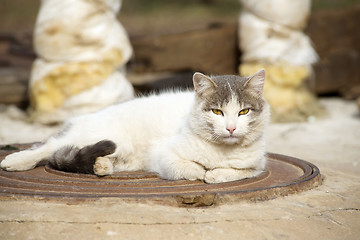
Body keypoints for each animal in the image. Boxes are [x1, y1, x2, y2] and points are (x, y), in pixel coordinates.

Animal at [0, 69, 270, 184]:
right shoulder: (165, 156)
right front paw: (203, 172)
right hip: (105, 135)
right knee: (49, 146)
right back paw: (16, 160)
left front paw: (216, 173)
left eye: (243, 111)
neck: (222, 151)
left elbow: (238, 172)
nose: (231, 128)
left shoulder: (257, 166)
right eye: (217, 112)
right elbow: (189, 168)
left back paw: (101, 165)